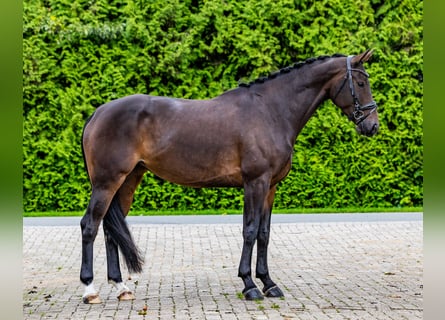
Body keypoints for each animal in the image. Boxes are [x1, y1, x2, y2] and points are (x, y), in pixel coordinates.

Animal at [80, 49, 378, 302]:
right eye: (361, 83)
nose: (372, 126)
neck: (271, 111)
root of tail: (98, 113)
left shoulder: (270, 187)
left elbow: (264, 233)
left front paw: (269, 283)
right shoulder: (255, 183)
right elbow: (249, 230)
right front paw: (249, 284)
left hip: (128, 181)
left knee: (109, 229)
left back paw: (121, 287)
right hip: (107, 183)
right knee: (90, 225)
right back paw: (90, 289)